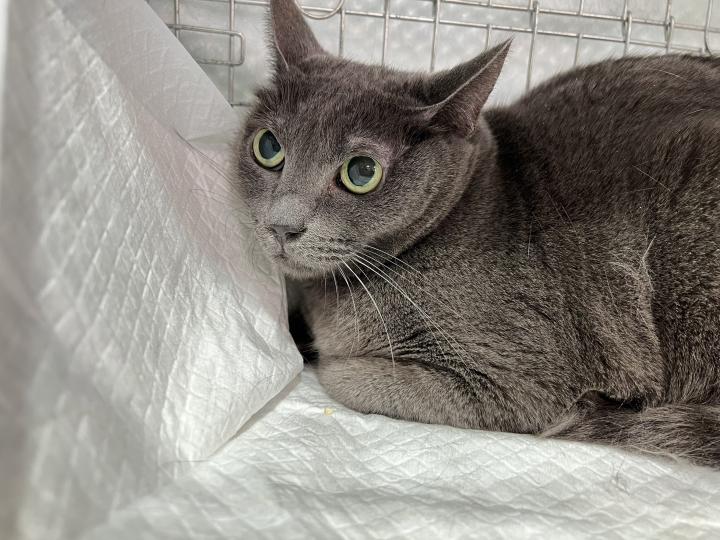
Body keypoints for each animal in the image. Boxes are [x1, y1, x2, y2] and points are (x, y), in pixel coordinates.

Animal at [235, 0, 720, 468]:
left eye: (361, 172)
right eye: (268, 147)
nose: (282, 224)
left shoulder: (521, 381)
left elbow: (345, 376)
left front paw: (321, 355)